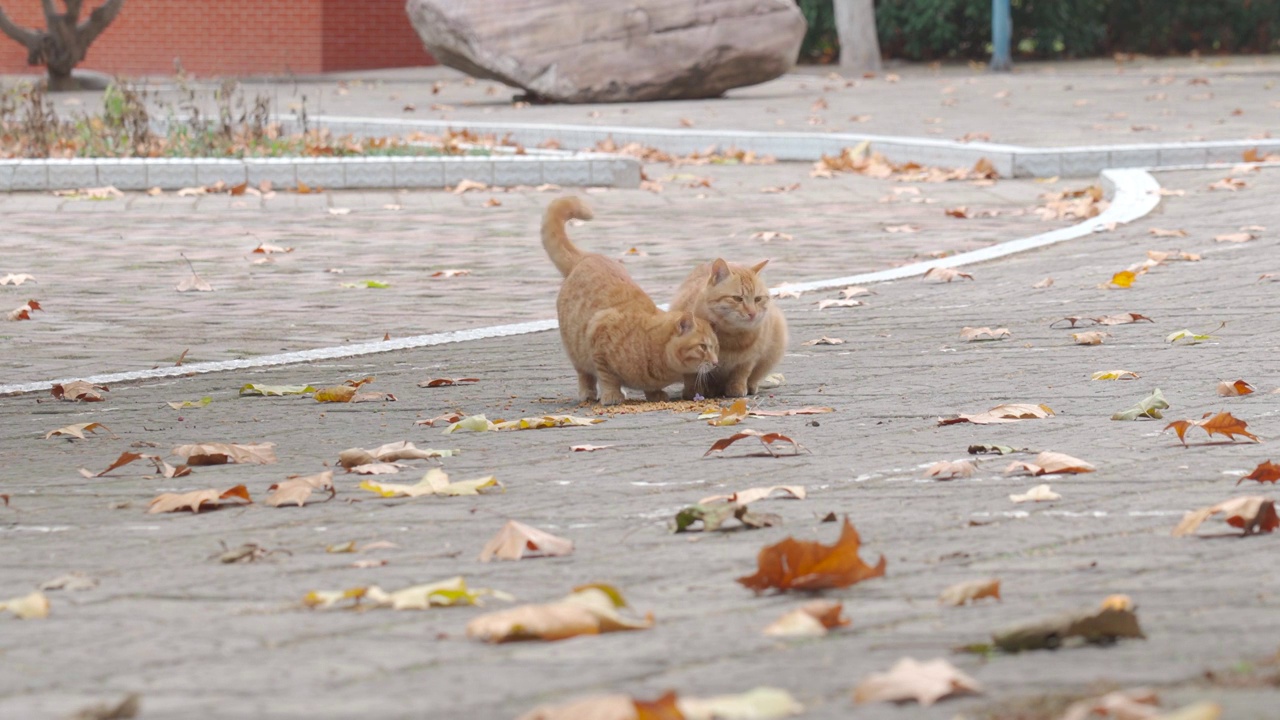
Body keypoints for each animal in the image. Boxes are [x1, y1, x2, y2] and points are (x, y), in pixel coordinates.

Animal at [540, 196, 721, 404]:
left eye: (716, 347)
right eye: (703, 347)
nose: (716, 363)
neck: (651, 346)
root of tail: (588, 256)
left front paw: (655, 393)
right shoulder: (599, 338)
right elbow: (607, 377)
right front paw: (612, 395)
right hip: (576, 351)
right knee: (585, 375)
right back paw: (588, 393)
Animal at [675, 254, 783, 397]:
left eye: (757, 299)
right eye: (737, 299)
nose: (752, 313)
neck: (730, 337)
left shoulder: (750, 358)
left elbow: (741, 373)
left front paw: (737, 387)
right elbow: (691, 375)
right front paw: (693, 391)